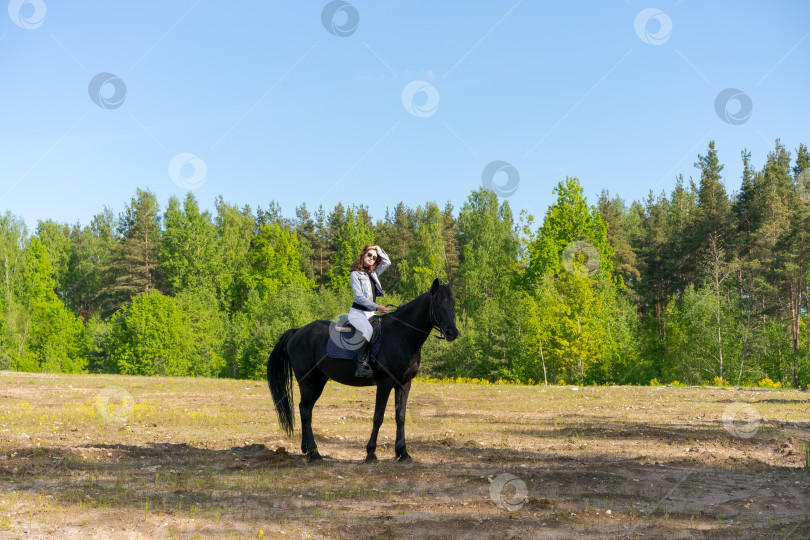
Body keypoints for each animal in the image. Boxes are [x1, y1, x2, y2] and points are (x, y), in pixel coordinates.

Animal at [266, 278, 454, 460]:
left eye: (453, 304)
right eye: (438, 304)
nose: (453, 333)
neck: (401, 336)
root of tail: (298, 331)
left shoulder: (404, 384)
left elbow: (400, 417)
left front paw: (403, 453)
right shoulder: (385, 383)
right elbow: (378, 417)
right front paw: (371, 453)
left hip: (319, 381)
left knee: (305, 409)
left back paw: (306, 449)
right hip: (307, 380)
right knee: (305, 411)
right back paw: (315, 453)